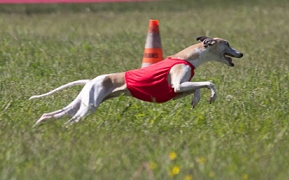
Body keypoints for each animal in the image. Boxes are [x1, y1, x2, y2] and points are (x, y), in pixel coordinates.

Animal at [29, 35, 242, 124]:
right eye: (227, 44)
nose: (241, 53)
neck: (187, 57)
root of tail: (91, 80)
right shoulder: (178, 84)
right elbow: (209, 83)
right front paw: (212, 96)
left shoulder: (177, 91)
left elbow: (197, 88)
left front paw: (196, 100)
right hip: (89, 106)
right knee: (72, 120)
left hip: (81, 102)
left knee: (49, 115)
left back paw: (37, 126)